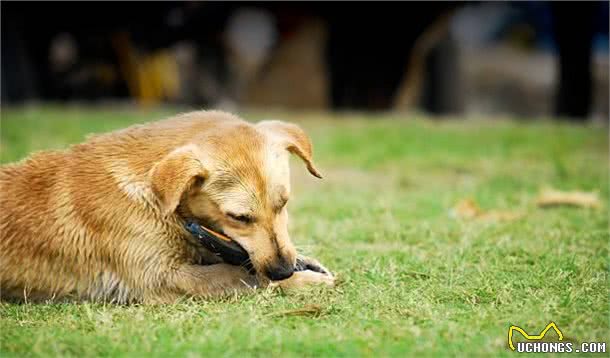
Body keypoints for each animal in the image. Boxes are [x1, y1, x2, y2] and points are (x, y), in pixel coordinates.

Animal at [0, 110, 332, 304]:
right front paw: (302, 280)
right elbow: (239, 275)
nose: (283, 270)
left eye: (283, 203)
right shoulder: (162, 278)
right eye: (238, 217)